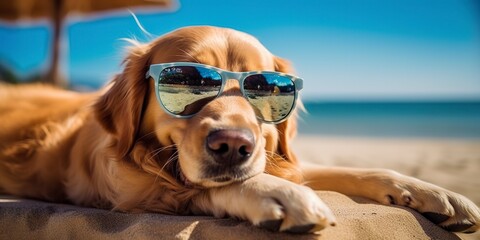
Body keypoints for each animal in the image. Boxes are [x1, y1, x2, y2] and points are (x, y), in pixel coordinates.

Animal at [0, 26, 478, 234]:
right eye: (186, 81)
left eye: (262, 86)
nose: (232, 146)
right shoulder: (132, 193)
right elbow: (206, 187)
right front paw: (276, 193)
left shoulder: (279, 155)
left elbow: (355, 171)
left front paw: (435, 193)